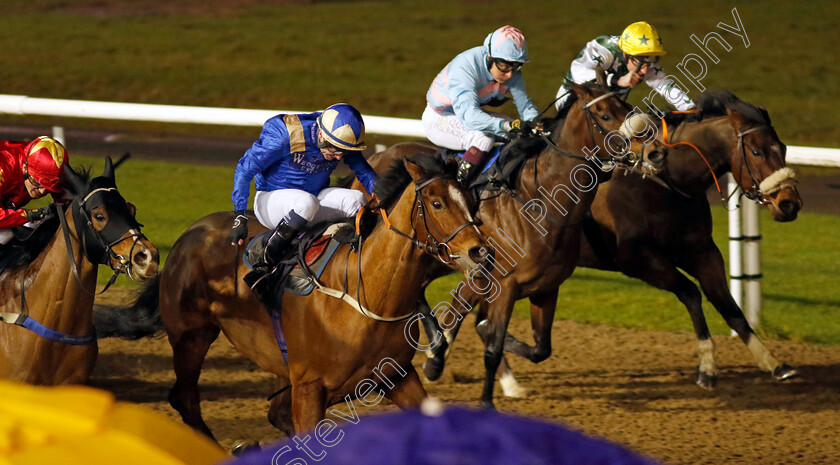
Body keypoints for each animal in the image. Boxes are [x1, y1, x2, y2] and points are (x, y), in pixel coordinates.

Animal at [98, 154, 492, 436]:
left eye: (472, 201)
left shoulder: (396, 375)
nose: (479, 251)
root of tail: (189, 233)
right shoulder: (308, 387)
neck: (366, 294)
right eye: (437, 203)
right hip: (192, 336)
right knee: (185, 399)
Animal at [360, 82, 668, 406]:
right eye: (605, 114)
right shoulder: (502, 285)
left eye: (628, 107)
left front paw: (457, 346)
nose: (656, 151)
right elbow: (491, 346)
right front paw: (483, 398)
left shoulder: (546, 288)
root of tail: (383, 155)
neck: (541, 203)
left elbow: (539, 348)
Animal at [488, 89, 804, 392]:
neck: (663, 184)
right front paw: (707, 367)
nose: (789, 204)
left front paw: (773, 362)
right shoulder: (638, 260)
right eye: (756, 151)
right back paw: (507, 380)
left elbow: (729, 306)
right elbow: (691, 293)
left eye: (784, 148)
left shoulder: (703, 251)